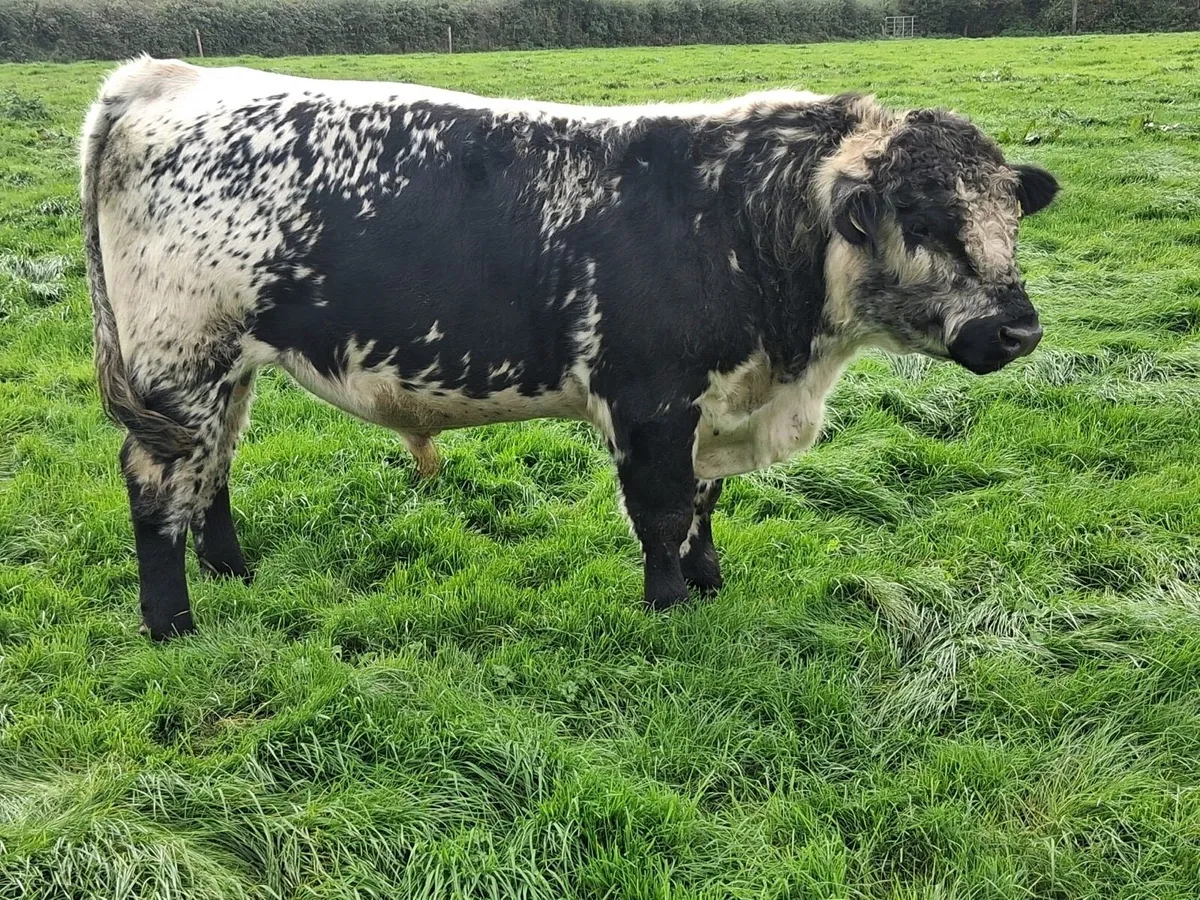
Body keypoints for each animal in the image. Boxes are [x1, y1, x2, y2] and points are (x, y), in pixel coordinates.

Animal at [80, 56, 1058, 641]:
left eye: (1011, 214)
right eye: (924, 221)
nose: (1020, 329)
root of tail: (164, 75)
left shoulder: (711, 402)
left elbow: (705, 503)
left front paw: (709, 582)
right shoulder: (650, 399)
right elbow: (662, 510)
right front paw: (669, 610)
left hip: (229, 365)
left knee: (213, 466)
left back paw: (235, 572)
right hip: (179, 359)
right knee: (158, 483)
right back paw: (172, 623)